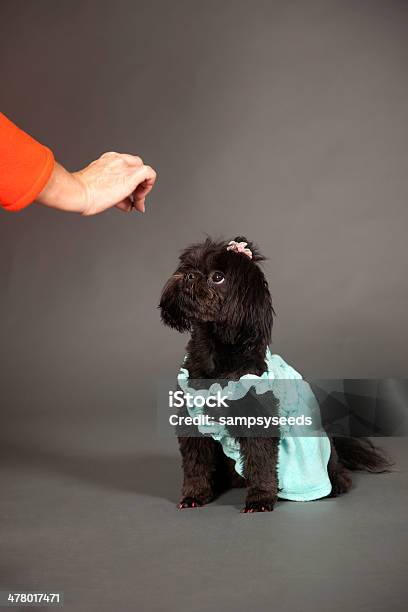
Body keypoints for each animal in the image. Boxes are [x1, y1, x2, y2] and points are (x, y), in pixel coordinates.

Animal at [159, 238, 388, 512]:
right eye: (187, 266)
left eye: (218, 277)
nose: (189, 275)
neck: (215, 350)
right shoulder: (191, 417)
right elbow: (196, 464)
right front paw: (194, 495)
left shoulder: (258, 416)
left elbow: (261, 461)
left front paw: (260, 498)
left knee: (338, 472)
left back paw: (335, 484)